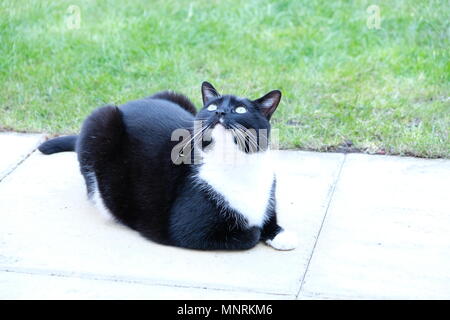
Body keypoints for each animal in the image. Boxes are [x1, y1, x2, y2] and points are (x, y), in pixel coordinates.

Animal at [39, 82, 298, 250]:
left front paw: (281, 235)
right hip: (100, 122)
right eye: (212, 107)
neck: (236, 164)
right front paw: (259, 232)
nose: (220, 111)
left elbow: (268, 220)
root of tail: (126, 104)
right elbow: (250, 235)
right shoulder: (189, 230)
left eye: (240, 109)